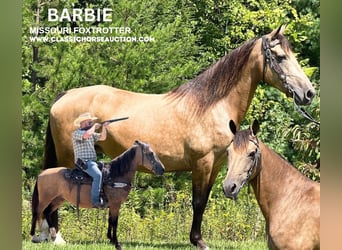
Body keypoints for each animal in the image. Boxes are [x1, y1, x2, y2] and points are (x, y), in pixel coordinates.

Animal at [30, 140, 164, 249]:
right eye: (150, 153)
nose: (162, 169)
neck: (114, 175)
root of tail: (42, 173)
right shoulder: (116, 205)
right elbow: (115, 223)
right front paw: (117, 244)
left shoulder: (112, 205)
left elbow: (110, 221)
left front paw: (110, 239)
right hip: (45, 199)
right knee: (37, 213)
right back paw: (34, 236)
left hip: (58, 199)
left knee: (47, 213)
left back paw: (53, 237)